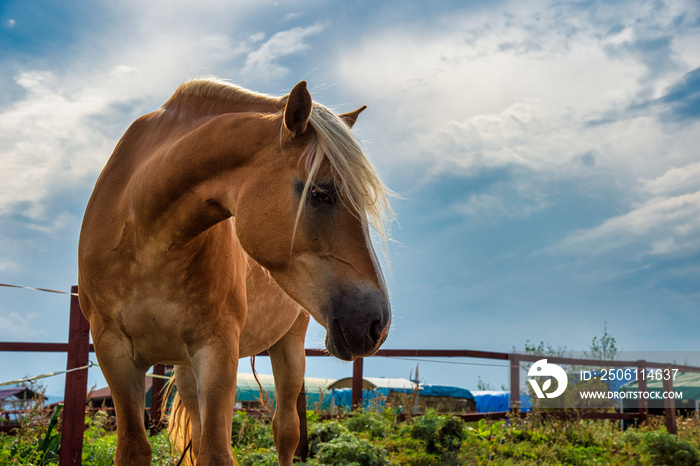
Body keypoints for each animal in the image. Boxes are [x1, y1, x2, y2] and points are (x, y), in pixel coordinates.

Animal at [79, 78, 394, 464]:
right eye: (321, 193)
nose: (377, 324)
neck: (144, 236)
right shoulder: (113, 352)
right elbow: (136, 450)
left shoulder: (217, 350)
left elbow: (217, 452)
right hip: (184, 368)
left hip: (288, 346)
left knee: (285, 431)